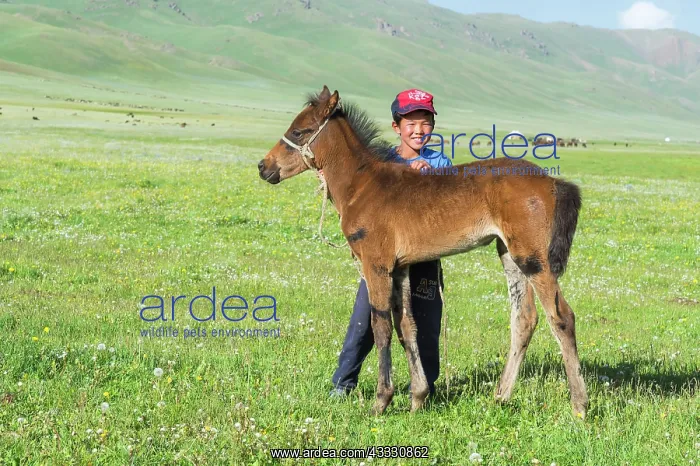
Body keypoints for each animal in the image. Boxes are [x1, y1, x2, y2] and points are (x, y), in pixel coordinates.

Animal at [258, 86, 588, 419]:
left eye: (298, 132)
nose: (263, 166)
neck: (362, 185)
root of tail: (552, 181)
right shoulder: (400, 267)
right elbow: (407, 326)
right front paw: (418, 396)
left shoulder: (376, 265)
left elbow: (381, 327)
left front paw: (382, 400)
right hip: (509, 253)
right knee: (524, 318)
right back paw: (501, 396)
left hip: (533, 258)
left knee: (562, 317)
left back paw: (579, 406)